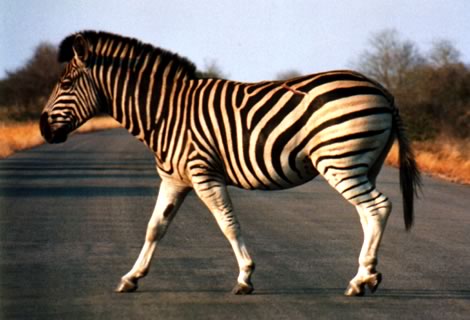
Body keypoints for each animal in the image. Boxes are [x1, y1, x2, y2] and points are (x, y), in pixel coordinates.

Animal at [40, 30, 420, 298]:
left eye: (65, 83)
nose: (43, 129)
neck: (164, 113)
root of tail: (383, 91)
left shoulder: (203, 173)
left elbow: (228, 224)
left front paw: (245, 277)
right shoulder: (174, 179)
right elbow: (155, 227)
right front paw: (131, 277)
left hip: (339, 160)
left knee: (378, 207)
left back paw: (360, 279)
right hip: (361, 164)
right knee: (367, 215)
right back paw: (365, 275)